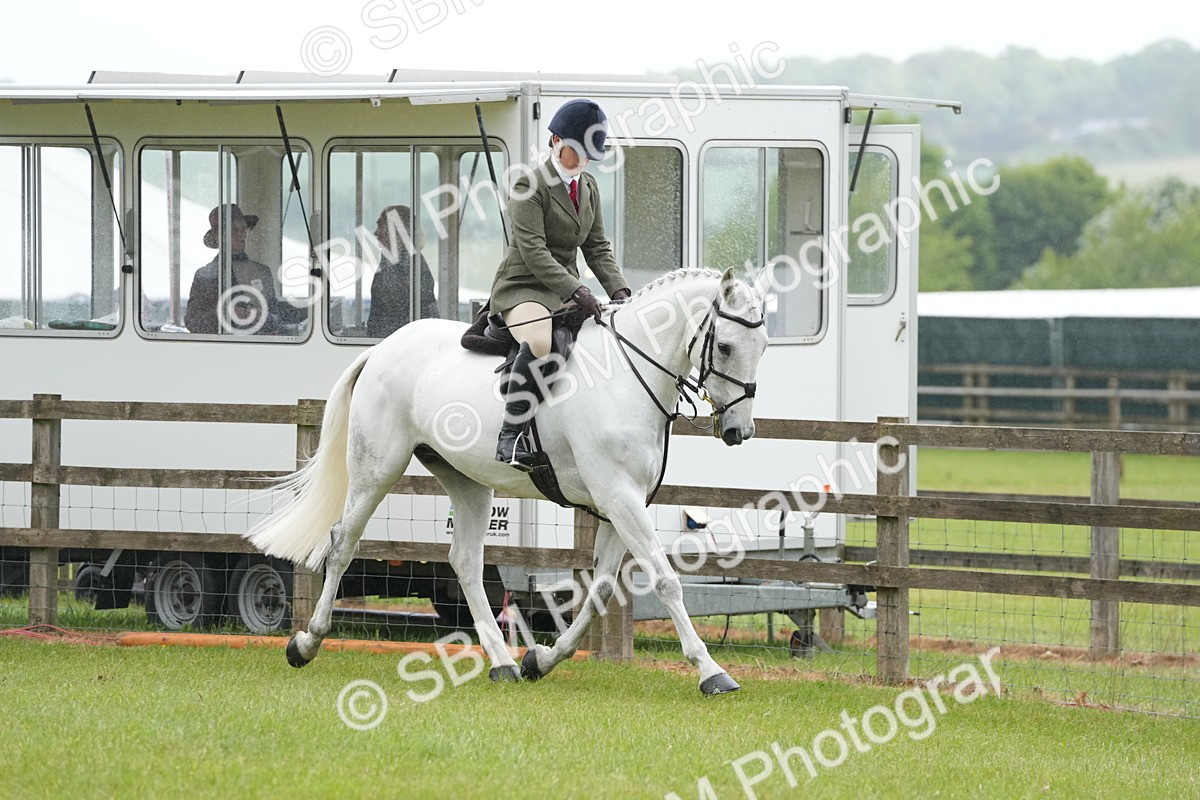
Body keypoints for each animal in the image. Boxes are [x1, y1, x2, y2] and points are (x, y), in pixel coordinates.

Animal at [245, 266, 769, 695]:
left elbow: (600, 590)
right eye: (725, 346)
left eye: (762, 347)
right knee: (343, 542)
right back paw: (305, 643)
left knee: (465, 562)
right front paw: (712, 672)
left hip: (466, 480)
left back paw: (503, 663)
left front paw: (543, 658)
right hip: (378, 469)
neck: (628, 374)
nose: (738, 431)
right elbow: (665, 581)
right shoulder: (619, 498)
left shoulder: (623, 502)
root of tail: (380, 349)